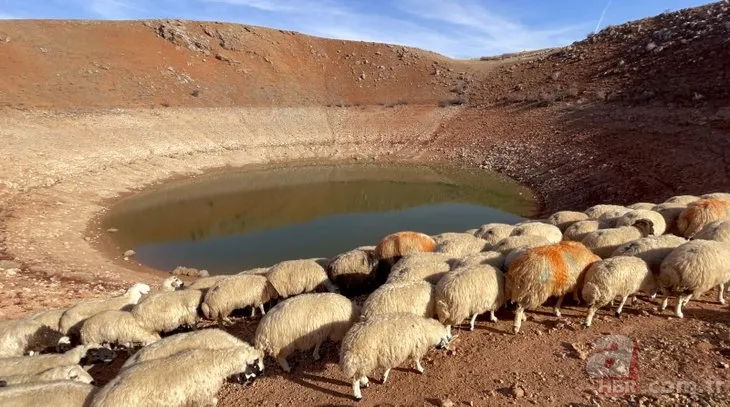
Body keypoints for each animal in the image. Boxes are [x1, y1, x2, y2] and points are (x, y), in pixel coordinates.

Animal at [89, 348, 264, 407]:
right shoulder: (202, 395)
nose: (249, 384)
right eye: (255, 366)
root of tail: (101, 399)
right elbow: (212, 402)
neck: (215, 362)